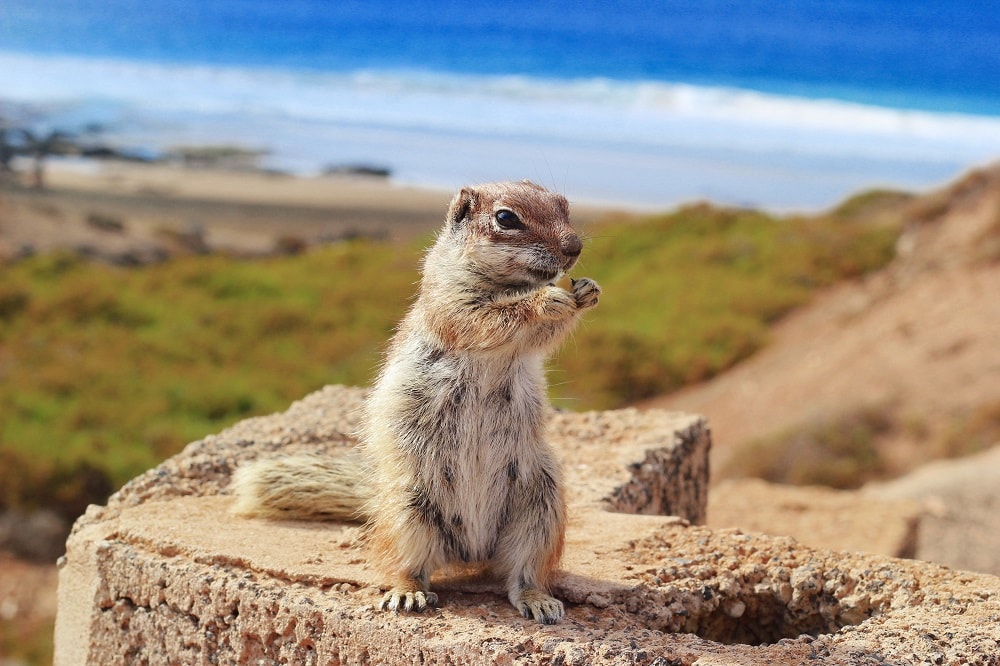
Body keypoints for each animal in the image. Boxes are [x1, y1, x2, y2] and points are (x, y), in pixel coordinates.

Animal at [230, 179, 596, 620]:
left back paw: (538, 599)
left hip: (541, 506)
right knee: (407, 566)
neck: (510, 284)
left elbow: (542, 334)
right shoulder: (452, 304)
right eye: (506, 218)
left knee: (523, 572)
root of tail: (472, 550)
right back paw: (408, 593)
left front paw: (587, 291)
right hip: (410, 510)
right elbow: (491, 318)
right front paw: (547, 300)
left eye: (564, 205)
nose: (574, 247)